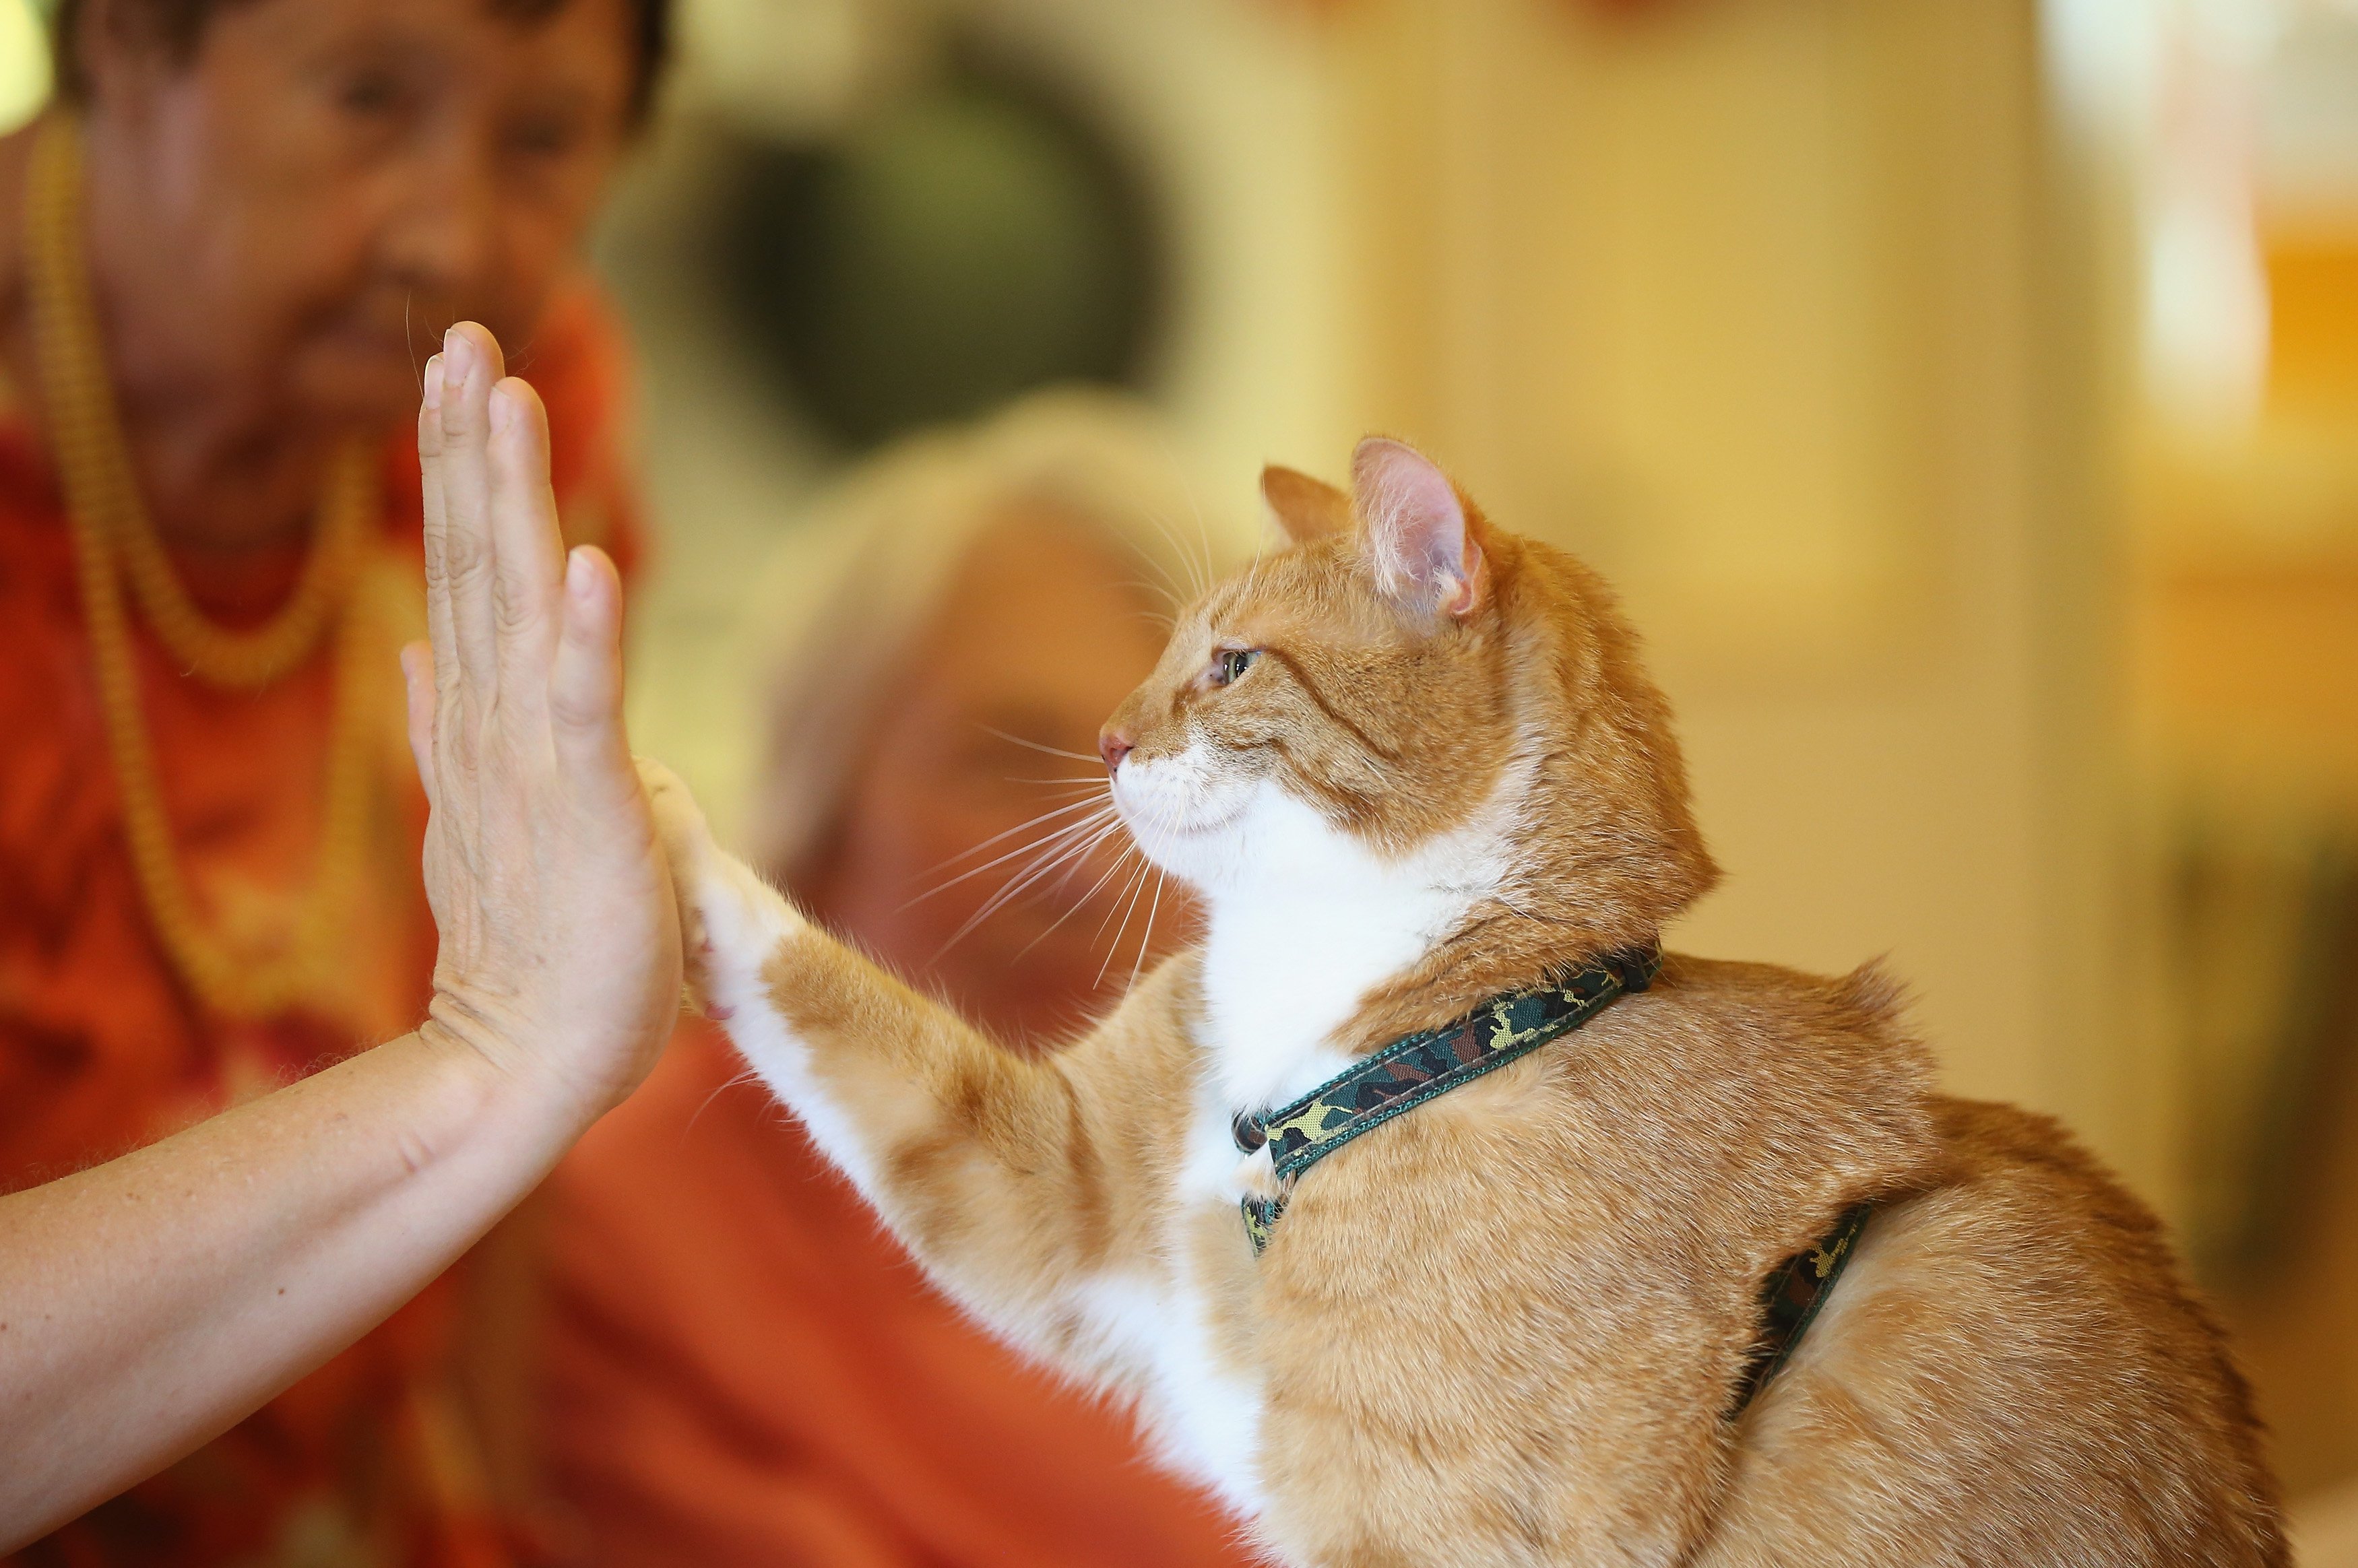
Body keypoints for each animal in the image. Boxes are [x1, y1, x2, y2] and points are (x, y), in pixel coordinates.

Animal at [641, 434, 2283, 1556]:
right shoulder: (1058, 1188)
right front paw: (638, 786)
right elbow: (842, 1012)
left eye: (1228, 668)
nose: (1104, 740)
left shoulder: (1430, 1524)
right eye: (1161, 659)